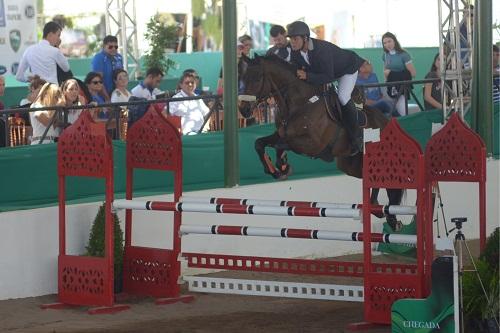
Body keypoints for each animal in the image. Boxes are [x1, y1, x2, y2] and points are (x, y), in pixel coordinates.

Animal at [236, 54, 404, 230]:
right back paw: (381, 211)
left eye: (256, 78)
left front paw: (282, 165)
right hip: (350, 165)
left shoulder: (313, 144)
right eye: (242, 78)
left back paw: (386, 215)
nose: (243, 110)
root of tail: (386, 121)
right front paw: (276, 170)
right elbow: (259, 143)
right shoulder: (280, 134)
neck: (300, 102)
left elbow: (283, 144)